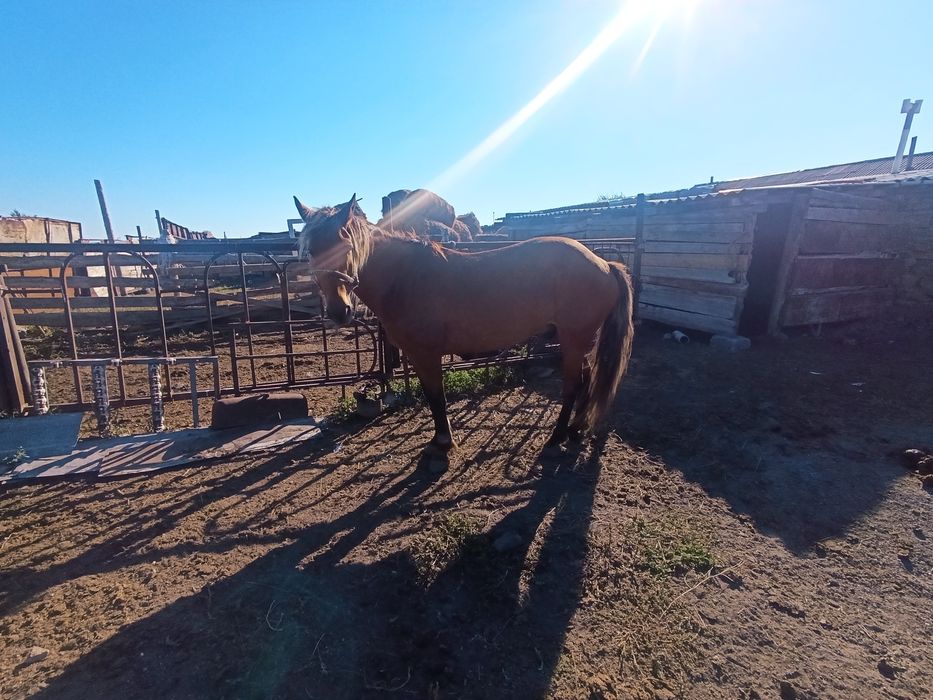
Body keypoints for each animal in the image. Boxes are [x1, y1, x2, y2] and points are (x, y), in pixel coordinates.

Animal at [294, 194, 634, 454]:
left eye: (346, 247)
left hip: (574, 339)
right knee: (586, 381)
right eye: (310, 251)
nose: (339, 311)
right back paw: (575, 431)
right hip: (579, 341)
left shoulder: (427, 354)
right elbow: (433, 398)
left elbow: (437, 398)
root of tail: (605, 264)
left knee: (573, 386)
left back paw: (555, 439)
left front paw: (442, 444)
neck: (404, 278)